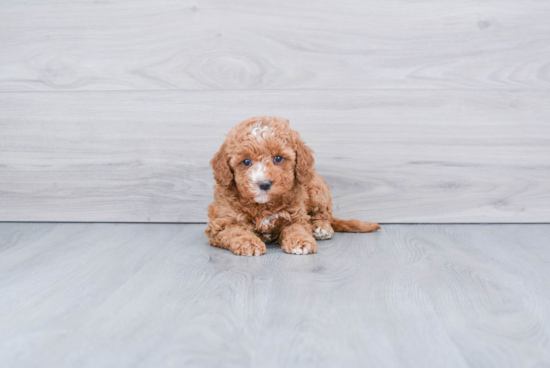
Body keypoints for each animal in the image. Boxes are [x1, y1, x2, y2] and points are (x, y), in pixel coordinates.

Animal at [205, 115, 382, 256]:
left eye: (278, 158)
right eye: (246, 161)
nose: (264, 183)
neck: (263, 206)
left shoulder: (296, 214)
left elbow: (297, 228)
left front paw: (301, 241)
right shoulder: (221, 222)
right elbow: (235, 231)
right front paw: (248, 242)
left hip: (316, 189)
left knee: (323, 215)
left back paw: (321, 228)